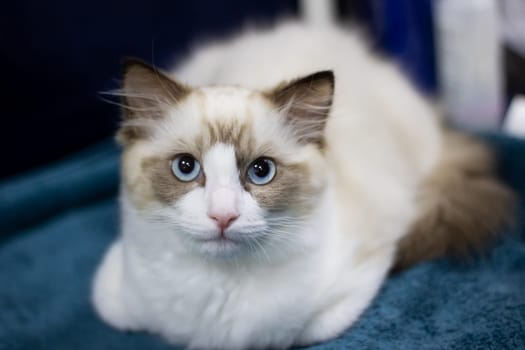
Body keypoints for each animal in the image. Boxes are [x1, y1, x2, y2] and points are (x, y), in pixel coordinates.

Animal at [91, 22, 512, 350]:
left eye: (261, 171)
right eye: (185, 168)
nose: (223, 216)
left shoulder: (356, 282)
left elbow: (297, 332)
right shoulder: (112, 296)